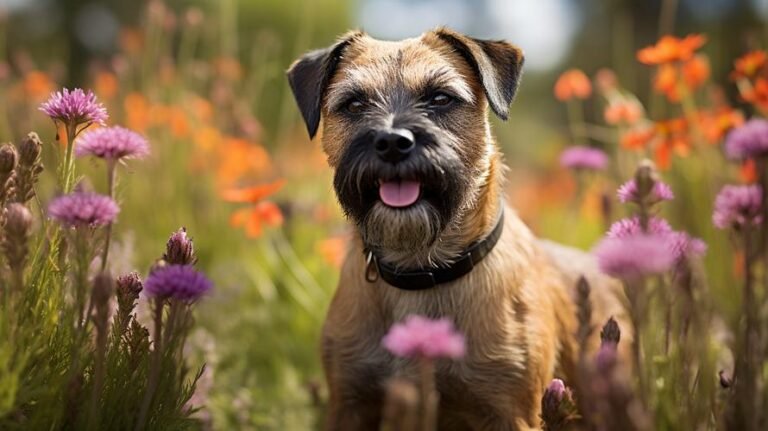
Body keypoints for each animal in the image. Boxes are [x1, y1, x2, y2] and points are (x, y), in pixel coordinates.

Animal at [284, 28, 628, 430]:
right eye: (354, 104)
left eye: (440, 98)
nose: (392, 142)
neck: (421, 269)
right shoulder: (349, 404)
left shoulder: (512, 413)